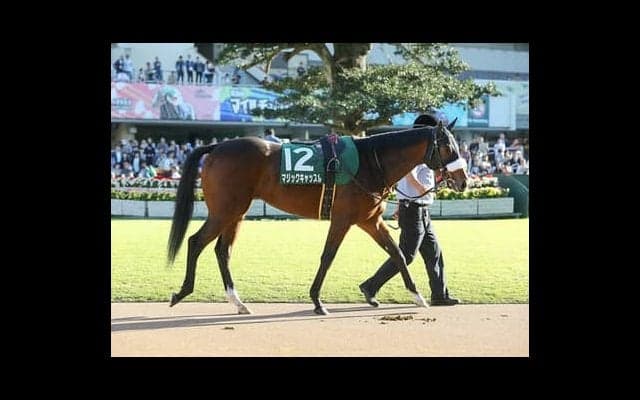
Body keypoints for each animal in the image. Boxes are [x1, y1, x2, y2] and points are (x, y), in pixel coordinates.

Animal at [167, 119, 468, 315]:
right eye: (447, 148)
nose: (463, 180)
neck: (371, 161)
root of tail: (217, 147)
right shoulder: (343, 219)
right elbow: (328, 256)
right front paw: (317, 301)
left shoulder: (370, 220)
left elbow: (397, 252)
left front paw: (415, 296)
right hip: (225, 210)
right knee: (196, 242)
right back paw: (181, 292)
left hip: (236, 213)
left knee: (222, 250)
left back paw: (238, 302)